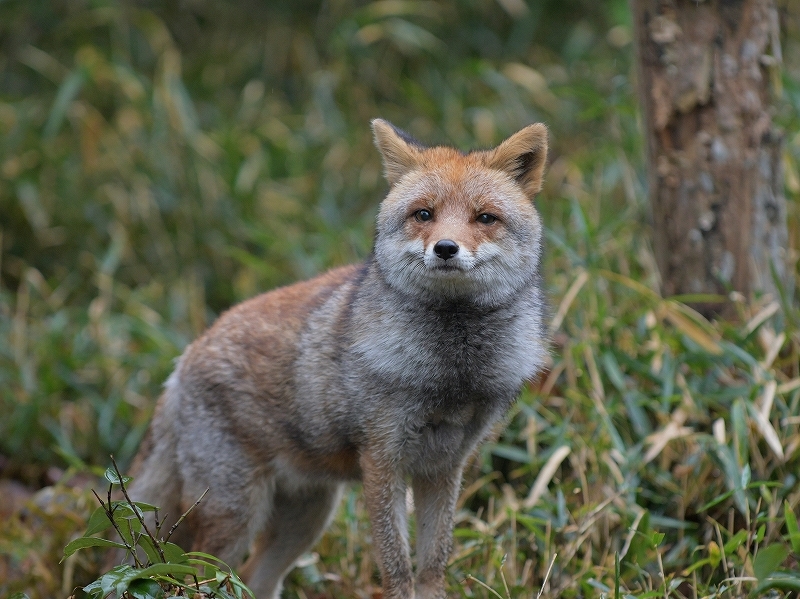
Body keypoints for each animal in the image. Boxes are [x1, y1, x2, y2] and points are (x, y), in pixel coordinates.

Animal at [130, 119, 552, 596]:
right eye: (424, 214)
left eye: (484, 218)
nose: (445, 248)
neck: (450, 375)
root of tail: (184, 357)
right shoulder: (383, 461)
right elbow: (397, 568)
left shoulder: (444, 467)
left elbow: (432, 566)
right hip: (234, 517)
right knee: (195, 580)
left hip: (306, 516)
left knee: (256, 579)